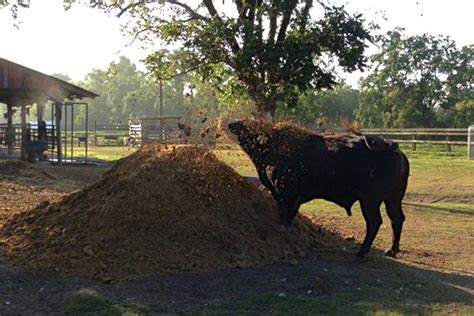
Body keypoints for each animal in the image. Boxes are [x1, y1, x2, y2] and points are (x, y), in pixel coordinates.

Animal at [228, 119, 410, 258]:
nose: (231, 124)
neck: (273, 146)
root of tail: (392, 147)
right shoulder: (289, 196)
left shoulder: (285, 194)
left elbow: (285, 214)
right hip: (392, 199)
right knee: (397, 219)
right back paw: (391, 250)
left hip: (370, 201)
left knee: (375, 222)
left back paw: (362, 253)